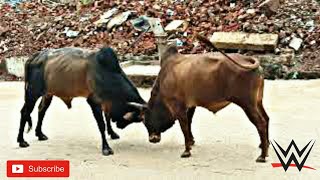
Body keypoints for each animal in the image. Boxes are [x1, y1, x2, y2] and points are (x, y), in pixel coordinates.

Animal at [18, 47, 146, 155]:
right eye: (135, 119)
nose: (120, 126)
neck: (107, 74)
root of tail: (34, 56)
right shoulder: (94, 101)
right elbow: (102, 124)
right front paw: (106, 148)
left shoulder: (106, 101)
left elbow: (107, 117)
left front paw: (113, 133)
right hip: (32, 93)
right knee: (25, 112)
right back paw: (21, 141)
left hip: (48, 93)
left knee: (41, 110)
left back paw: (40, 134)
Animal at [132, 35, 270, 163]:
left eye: (144, 119)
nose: (152, 139)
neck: (163, 80)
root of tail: (247, 59)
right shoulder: (190, 105)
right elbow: (189, 123)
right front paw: (191, 142)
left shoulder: (178, 107)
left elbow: (184, 127)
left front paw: (186, 151)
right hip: (258, 102)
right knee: (266, 118)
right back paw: (265, 145)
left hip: (247, 104)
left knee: (261, 123)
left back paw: (262, 156)